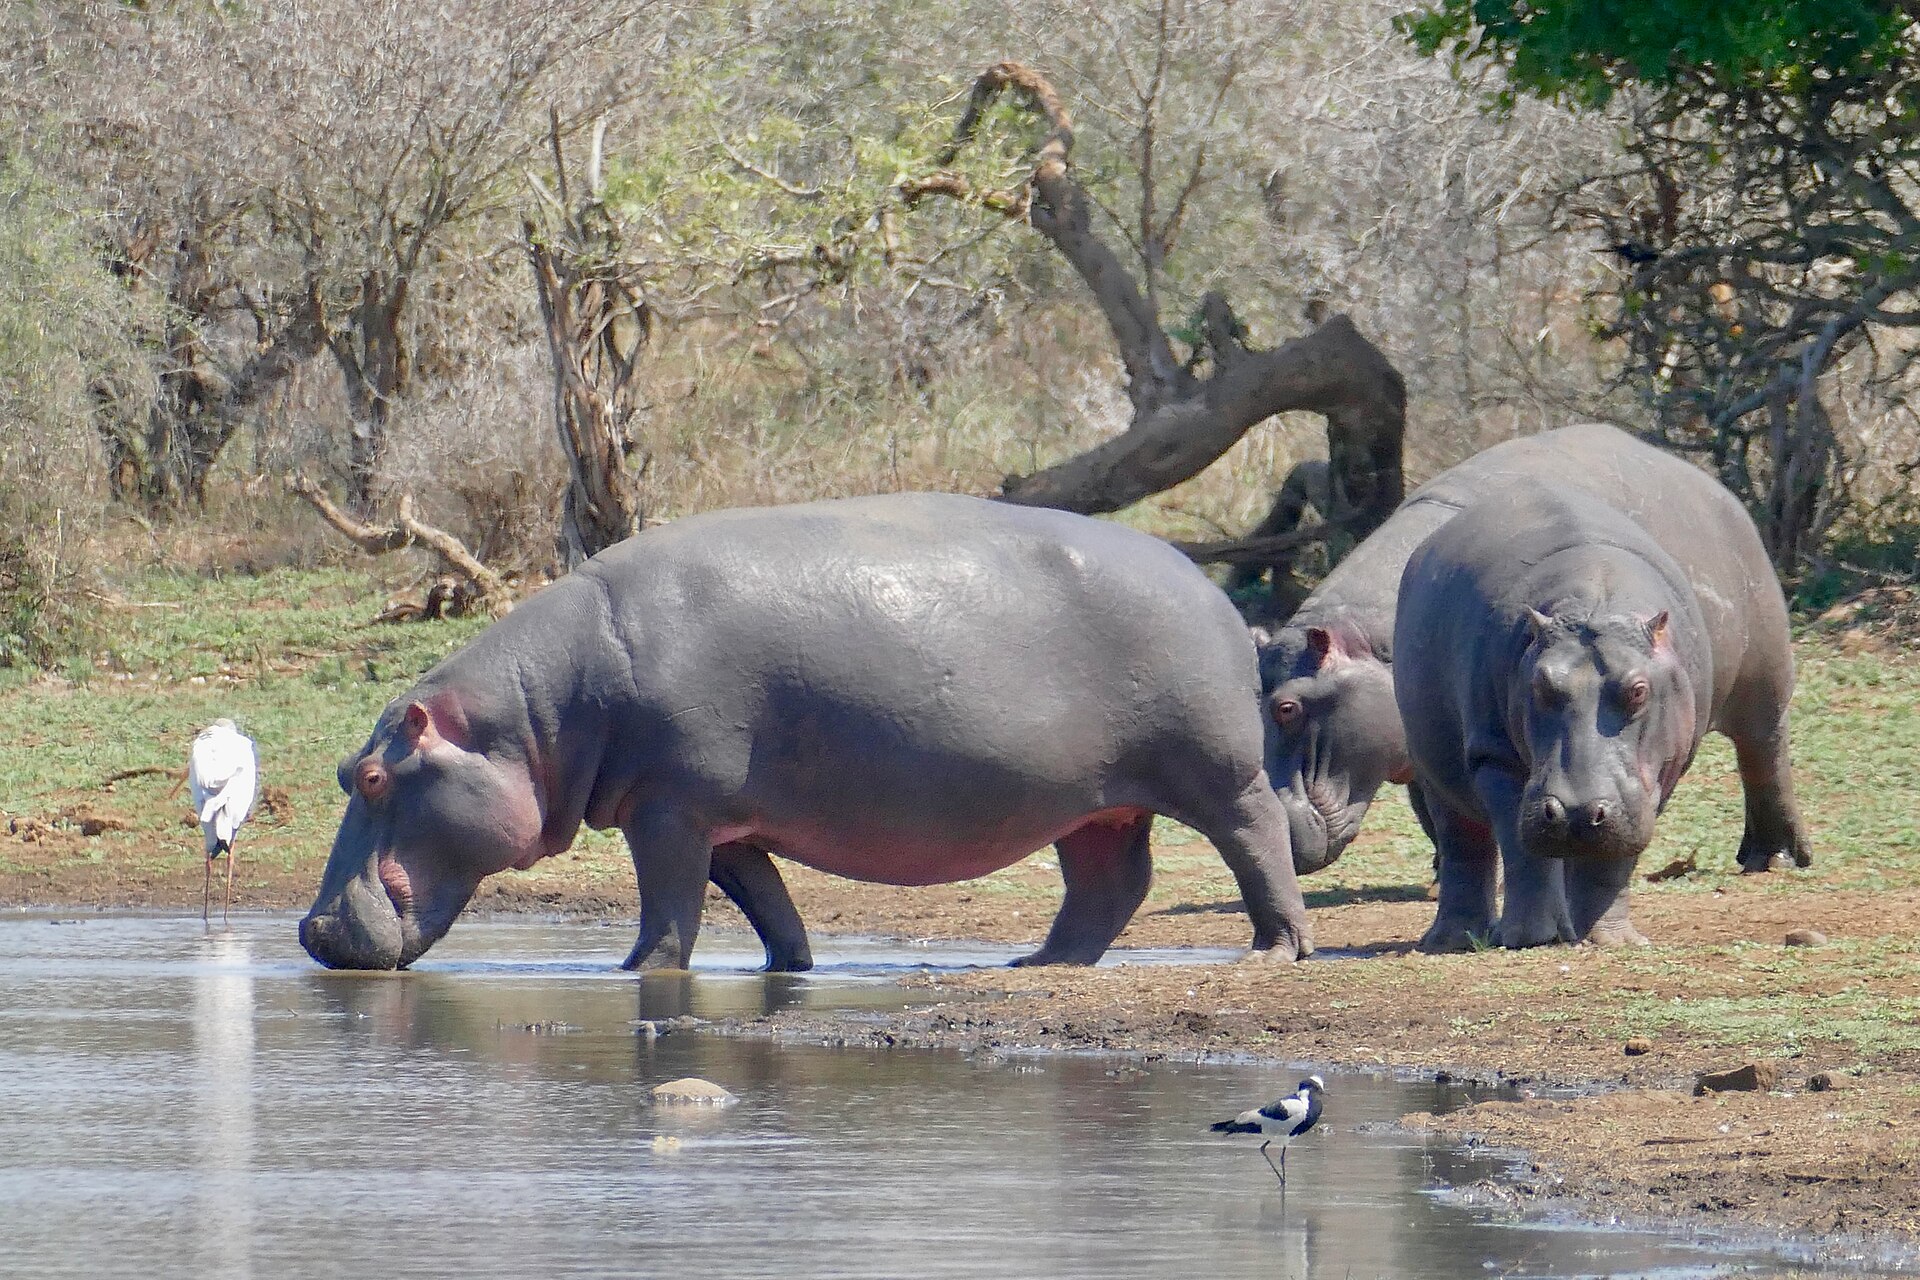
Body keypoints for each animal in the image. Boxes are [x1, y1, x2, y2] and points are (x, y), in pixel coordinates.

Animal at [299, 492, 1313, 972]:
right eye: (349, 770)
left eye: (376, 779)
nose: (310, 929)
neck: (537, 717)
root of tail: (1211, 588)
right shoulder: (724, 822)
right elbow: (762, 899)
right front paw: (790, 965)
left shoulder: (668, 811)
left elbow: (668, 907)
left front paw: (636, 971)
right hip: (1090, 800)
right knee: (1109, 882)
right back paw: (1041, 960)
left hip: (1213, 769)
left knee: (1255, 836)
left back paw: (1275, 949)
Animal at [1258, 422, 1811, 877]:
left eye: (1287, 707)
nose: (1271, 830)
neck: (1371, 643)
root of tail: (1714, 489)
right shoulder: (1428, 737)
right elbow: (1439, 810)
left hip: (1764, 680)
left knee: (1765, 754)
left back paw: (1774, 858)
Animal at [1392, 480, 1812, 950]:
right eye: (1540, 684)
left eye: (1638, 690)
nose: (1574, 812)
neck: (1595, 603)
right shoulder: (1496, 757)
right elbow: (1523, 854)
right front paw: (1526, 937)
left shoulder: (1651, 779)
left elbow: (1612, 861)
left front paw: (1613, 942)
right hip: (1435, 768)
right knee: (1464, 843)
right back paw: (1453, 940)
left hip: (1765, 680)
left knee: (1762, 750)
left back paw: (1775, 860)